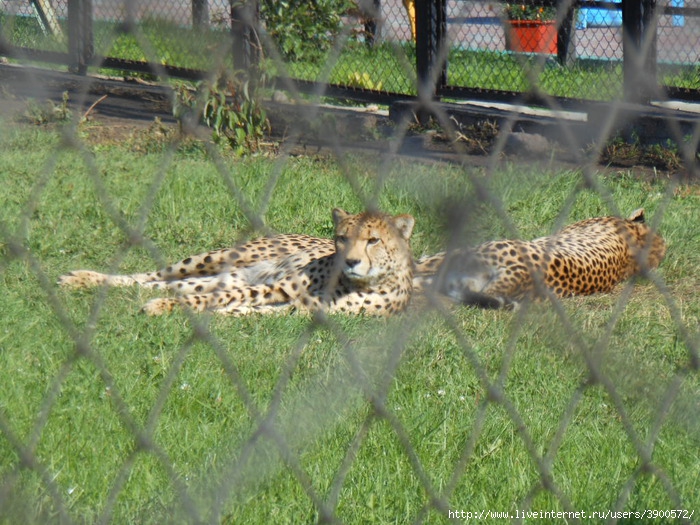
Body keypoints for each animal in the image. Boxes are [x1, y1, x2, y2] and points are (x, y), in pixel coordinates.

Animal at [58, 209, 416, 316]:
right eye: (342, 238)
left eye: (372, 240)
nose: (351, 262)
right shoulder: (277, 287)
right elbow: (225, 302)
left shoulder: (299, 309)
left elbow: (245, 311)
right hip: (213, 260)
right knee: (148, 276)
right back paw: (82, 278)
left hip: (225, 275)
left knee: (167, 285)